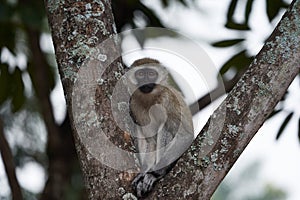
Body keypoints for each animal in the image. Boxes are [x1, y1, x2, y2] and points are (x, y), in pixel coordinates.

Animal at [127, 57, 195, 197]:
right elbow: (151, 141)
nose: (146, 82)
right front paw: (143, 172)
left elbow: (184, 136)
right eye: (140, 74)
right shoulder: (134, 104)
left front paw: (154, 174)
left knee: (165, 127)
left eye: (151, 74)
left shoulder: (168, 99)